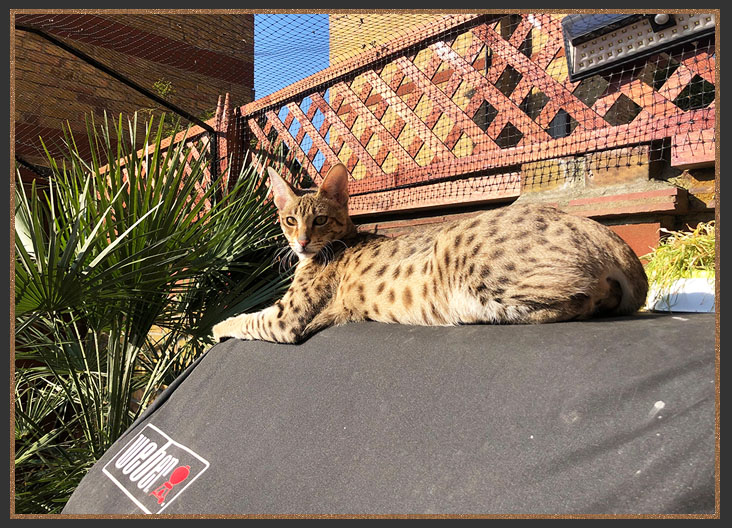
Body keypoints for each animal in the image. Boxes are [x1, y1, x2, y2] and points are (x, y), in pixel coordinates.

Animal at [212, 163, 648, 344]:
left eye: (319, 220)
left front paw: (215, 329)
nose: (301, 242)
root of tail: (604, 232)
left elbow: (246, 319)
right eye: (289, 220)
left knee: (574, 300)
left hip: (459, 252)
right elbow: (251, 316)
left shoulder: (288, 320)